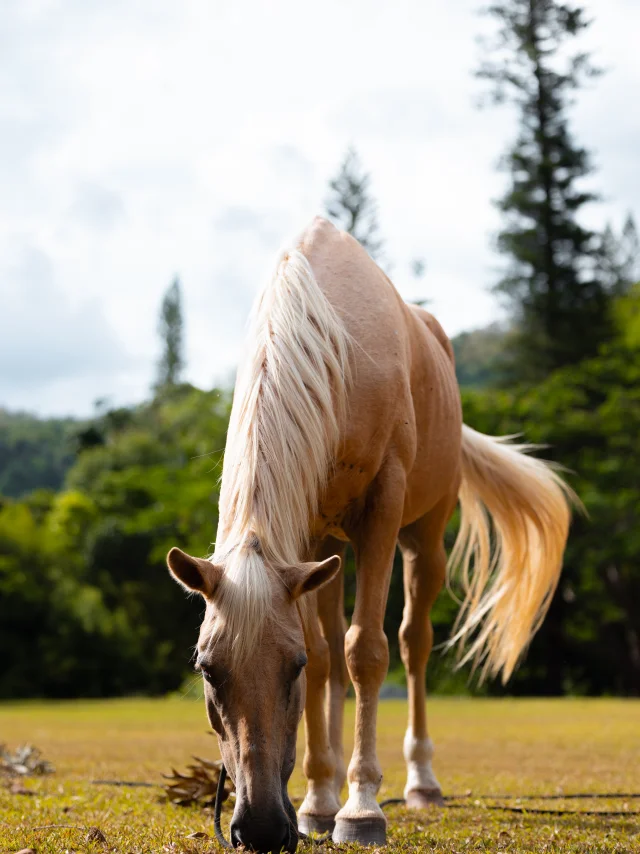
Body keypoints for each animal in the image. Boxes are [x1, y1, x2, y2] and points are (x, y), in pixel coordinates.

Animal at [168, 217, 572, 852]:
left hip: (422, 539)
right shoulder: (308, 541)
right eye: (208, 669)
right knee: (336, 647)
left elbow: (366, 651)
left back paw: (420, 782)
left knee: (412, 644)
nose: (259, 827)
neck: (329, 341)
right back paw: (323, 792)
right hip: (329, 551)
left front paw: (360, 808)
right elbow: (327, 659)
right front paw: (318, 800)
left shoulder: (382, 511)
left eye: (289, 666)